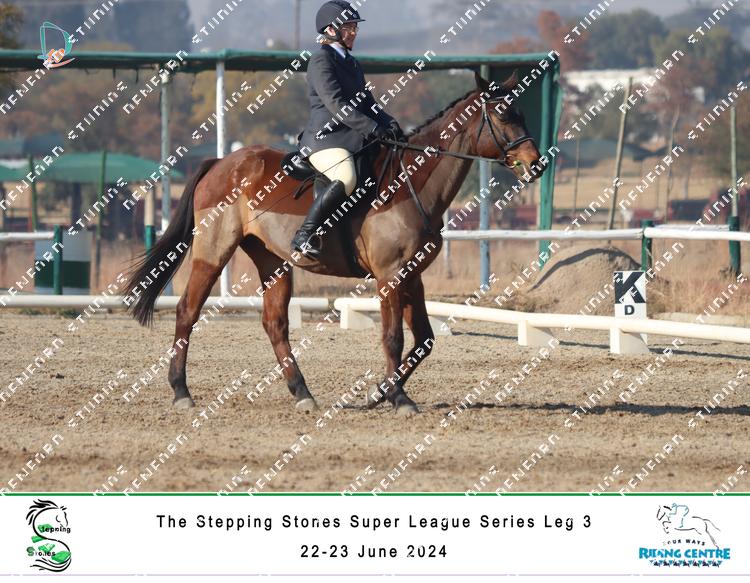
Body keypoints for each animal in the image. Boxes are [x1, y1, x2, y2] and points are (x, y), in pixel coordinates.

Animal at [124, 71, 547, 415]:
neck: (411, 182)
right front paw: (399, 398)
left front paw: (379, 392)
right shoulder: (390, 276)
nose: (536, 164)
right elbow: (393, 337)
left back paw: (302, 393)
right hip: (213, 252)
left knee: (275, 324)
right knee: (187, 312)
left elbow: (424, 340)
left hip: (273, 261)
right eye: (503, 115)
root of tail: (221, 163)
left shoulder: (413, 275)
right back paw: (181, 392)